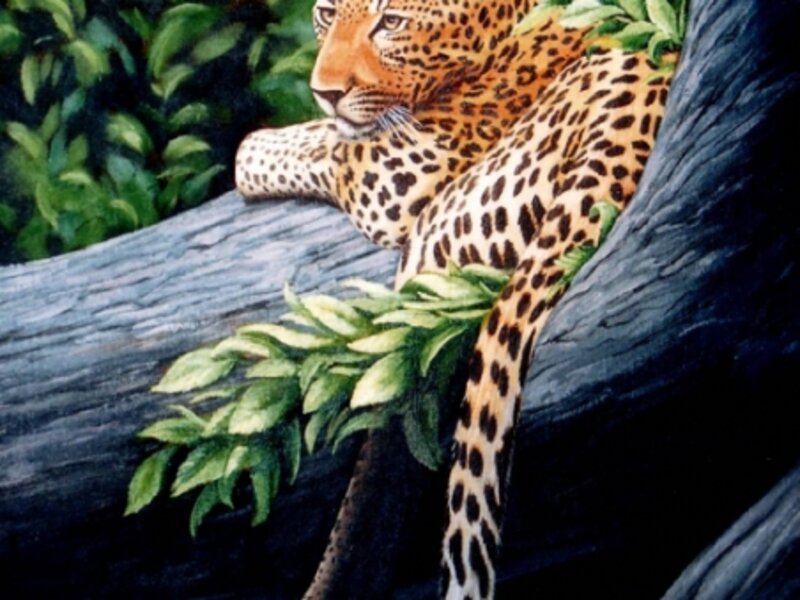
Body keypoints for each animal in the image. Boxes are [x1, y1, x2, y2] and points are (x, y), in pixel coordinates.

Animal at [235, 0, 675, 598]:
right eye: (326, 14)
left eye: (391, 23)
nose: (324, 92)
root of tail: (613, 163)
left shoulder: (397, 173)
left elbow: (319, 143)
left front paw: (253, 147)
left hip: (435, 239)